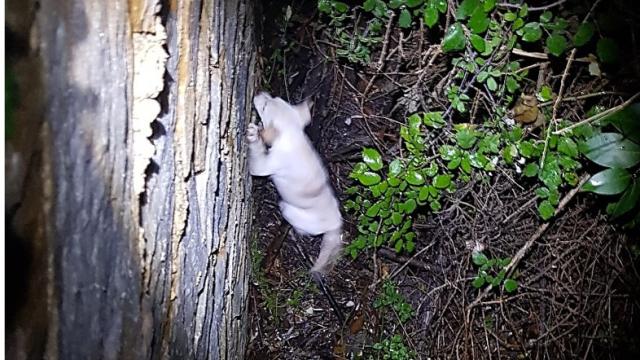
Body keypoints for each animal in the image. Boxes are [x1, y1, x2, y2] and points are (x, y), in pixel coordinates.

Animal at [248, 91, 342, 274]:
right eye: (274, 98)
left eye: (265, 106)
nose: (259, 92)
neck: (293, 136)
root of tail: (336, 224)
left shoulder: (262, 166)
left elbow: (258, 152)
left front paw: (254, 136)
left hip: (289, 210)